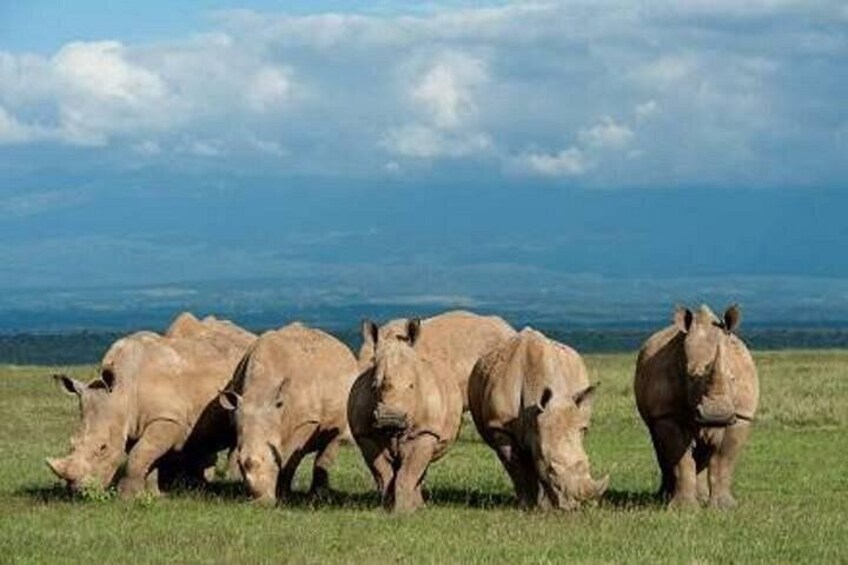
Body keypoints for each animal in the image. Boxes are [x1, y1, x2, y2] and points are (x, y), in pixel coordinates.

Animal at [47, 312, 256, 497]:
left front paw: (126, 497)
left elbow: (137, 456)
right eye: (71, 443)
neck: (122, 393)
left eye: (103, 447)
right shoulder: (135, 423)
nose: (79, 490)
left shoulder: (168, 418)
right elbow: (145, 455)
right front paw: (153, 494)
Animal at [218, 322, 359, 504]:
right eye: (240, 461)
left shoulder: (306, 422)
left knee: (332, 439)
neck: (259, 392)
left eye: (274, 455)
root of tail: (345, 349)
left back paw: (317, 497)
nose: (261, 503)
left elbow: (289, 459)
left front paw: (283, 497)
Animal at [348, 318, 463, 513]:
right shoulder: (365, 433)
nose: (390, 416)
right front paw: (387, 508)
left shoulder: (425, 431)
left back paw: (420, 507)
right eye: (373, 386)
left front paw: (404, 511)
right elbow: (383, 472)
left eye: (412, 386)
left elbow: (409, 471)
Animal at [469, 328, 608, 510]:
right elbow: (516, 465)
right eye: (551, 470)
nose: (577, 505)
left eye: (588, 463)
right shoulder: (500, 426)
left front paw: (545, 507)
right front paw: (527, 506)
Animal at [634, 305, 759, 508]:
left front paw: (724, 507)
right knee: (660, 445)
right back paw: (665, 497)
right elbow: (680, 459)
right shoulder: (667, 413)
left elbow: (724, 459)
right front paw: (683, 507)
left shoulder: (741, 415)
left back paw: (701, 498)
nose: (716, 414)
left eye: (733, 378)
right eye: (690, 377)